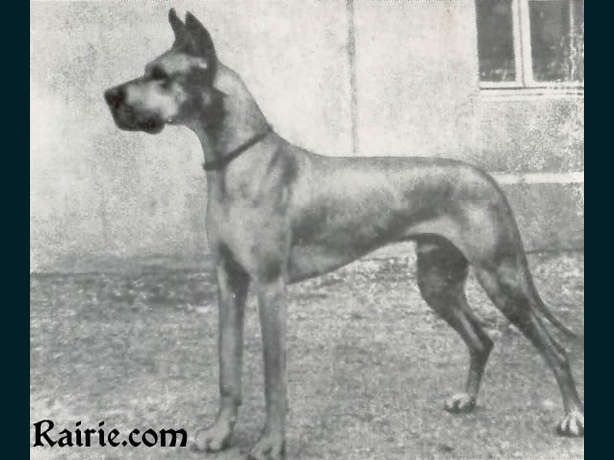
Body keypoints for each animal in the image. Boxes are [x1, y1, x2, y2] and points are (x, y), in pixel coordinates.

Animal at [104, 9, 584, 459]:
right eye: (148, 70)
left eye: (161, 76)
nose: (109, 96)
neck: (238, 164)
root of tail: (487, 179)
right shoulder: (229, 282)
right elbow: (228, 370)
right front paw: (220, 434)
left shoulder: (269, 287)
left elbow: (273, 378)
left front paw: (271, 443)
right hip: (437, 281)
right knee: (482, 339)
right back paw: (467, 398)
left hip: (500, 279)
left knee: (556, 349)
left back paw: (572, 417)